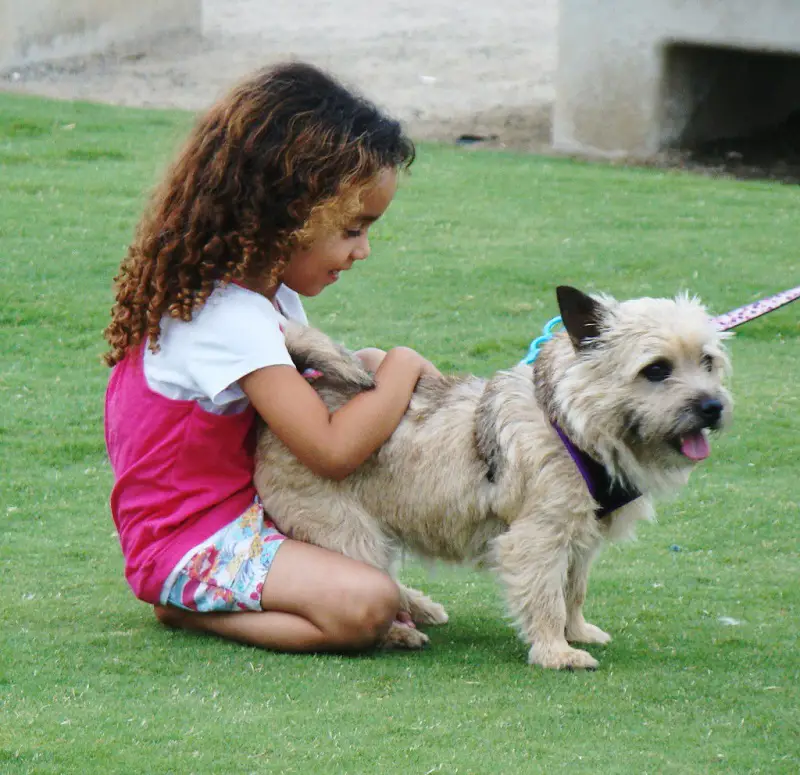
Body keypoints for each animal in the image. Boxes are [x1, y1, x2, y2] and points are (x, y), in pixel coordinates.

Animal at [255, 288, 732, 668]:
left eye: (707, 361)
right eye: (656, 369)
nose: (713, 407)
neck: (569, 422)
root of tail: (308, 387)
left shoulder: (580, 538)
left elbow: (573, 590)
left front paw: (576, 632)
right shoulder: (538, 537)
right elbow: (547, 597)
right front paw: (556, 652)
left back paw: (419, 608)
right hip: (350, 533)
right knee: (373, 578)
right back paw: (399, 629)